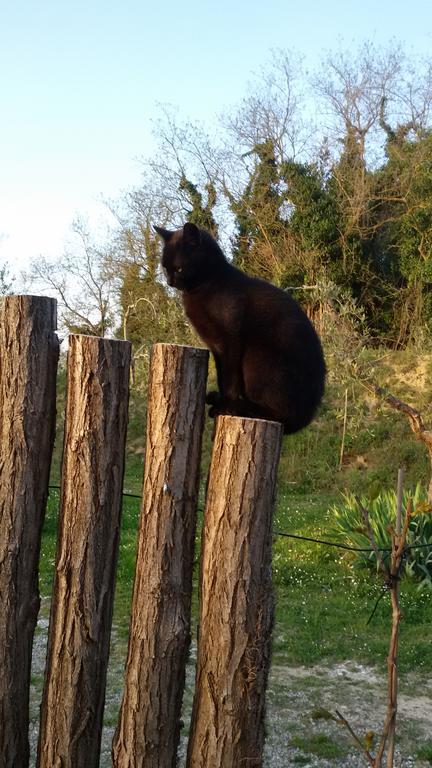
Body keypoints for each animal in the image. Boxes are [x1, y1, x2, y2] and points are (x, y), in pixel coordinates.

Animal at [154, 225, 326, 436]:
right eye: (165, 267)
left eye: (179, 268)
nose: (169, 282)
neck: (205, 285)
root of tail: (305, 418)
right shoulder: (216, 347)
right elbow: (222, 377)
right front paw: (221, 399)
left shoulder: (231, 340)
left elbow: (231, 378)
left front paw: (225, 405)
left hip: (258, 358)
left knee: (280, 414)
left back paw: (240, 408)